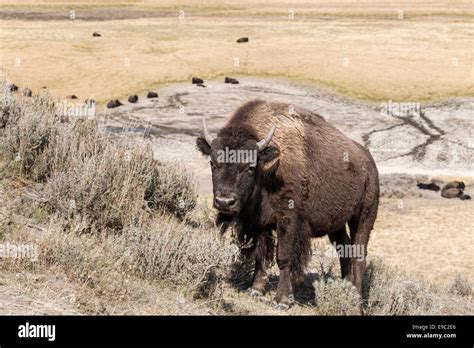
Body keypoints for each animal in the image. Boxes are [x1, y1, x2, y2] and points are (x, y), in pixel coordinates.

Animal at [194, 99, 380, 308]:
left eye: (250, 167)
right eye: (212, 163)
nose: (225, 202)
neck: (267, 170)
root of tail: (369, 163)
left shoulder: (288, 220)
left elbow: (283, 257)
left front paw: (282, 299)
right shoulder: (259, 223)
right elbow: (260, 254)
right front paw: (255, 289)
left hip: (364, 216)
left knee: (359, 254)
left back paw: (357, 299)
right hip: (336, 224)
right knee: (344, 248)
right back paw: (346, 287)